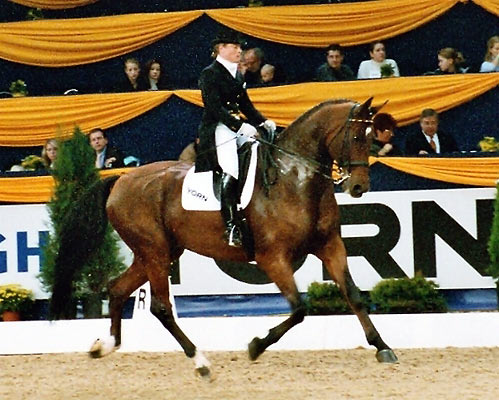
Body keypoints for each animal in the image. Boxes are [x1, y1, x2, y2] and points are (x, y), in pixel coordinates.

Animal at [49, 97, 398, 378]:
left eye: (373, 139)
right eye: (356, 137)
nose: (358, 187)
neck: (295, 179)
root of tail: (120, 179)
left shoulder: (329, 246)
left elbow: (354, 295)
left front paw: (382, 347)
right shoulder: (273, 258)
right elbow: (299, 309)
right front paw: (256, 346)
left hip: (159, 251)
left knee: (117, 289)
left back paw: (104, 346)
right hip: (155, 251)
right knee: (161, 307)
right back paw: (201, 362)